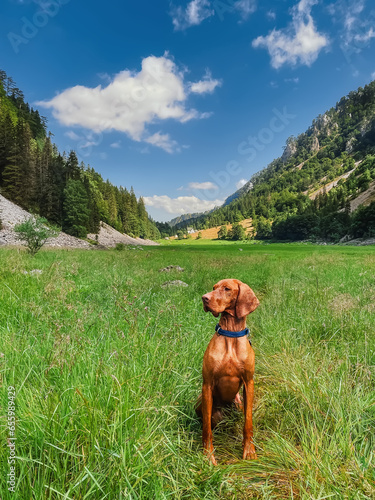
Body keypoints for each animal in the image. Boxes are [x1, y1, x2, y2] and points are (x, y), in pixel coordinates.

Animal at [197, 280, 258, 462]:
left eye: (227, 288)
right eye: (213, 288)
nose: (204, 298)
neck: (231, 334)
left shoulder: (249, 383)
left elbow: (248, 423)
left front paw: (249, 450)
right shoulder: (207, 385)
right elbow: (206, 428)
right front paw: (208, 455)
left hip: (238, 402)